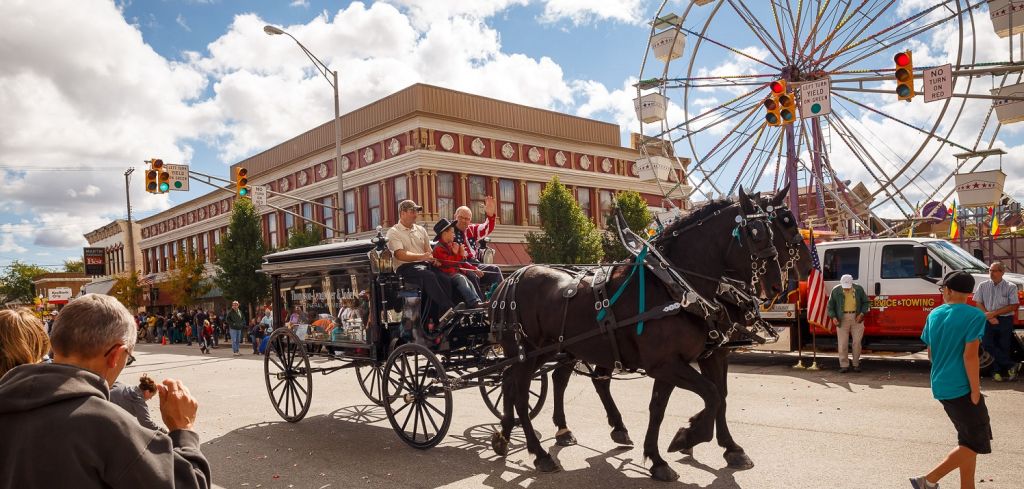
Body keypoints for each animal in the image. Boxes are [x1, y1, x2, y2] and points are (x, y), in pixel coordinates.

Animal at [487, 188, 782, 480]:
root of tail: (509, 280)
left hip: (548, 350)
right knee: (522, 393)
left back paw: (507, 435)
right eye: (756, 232)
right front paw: (688, 438)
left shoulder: (690, 359)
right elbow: (712, 395)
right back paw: (539, 453)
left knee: (514, 382)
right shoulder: (666, 364)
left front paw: (663, 456)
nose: (777, 286)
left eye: (774, 229)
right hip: (526, 352)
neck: (675, 288)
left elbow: (668, 407)